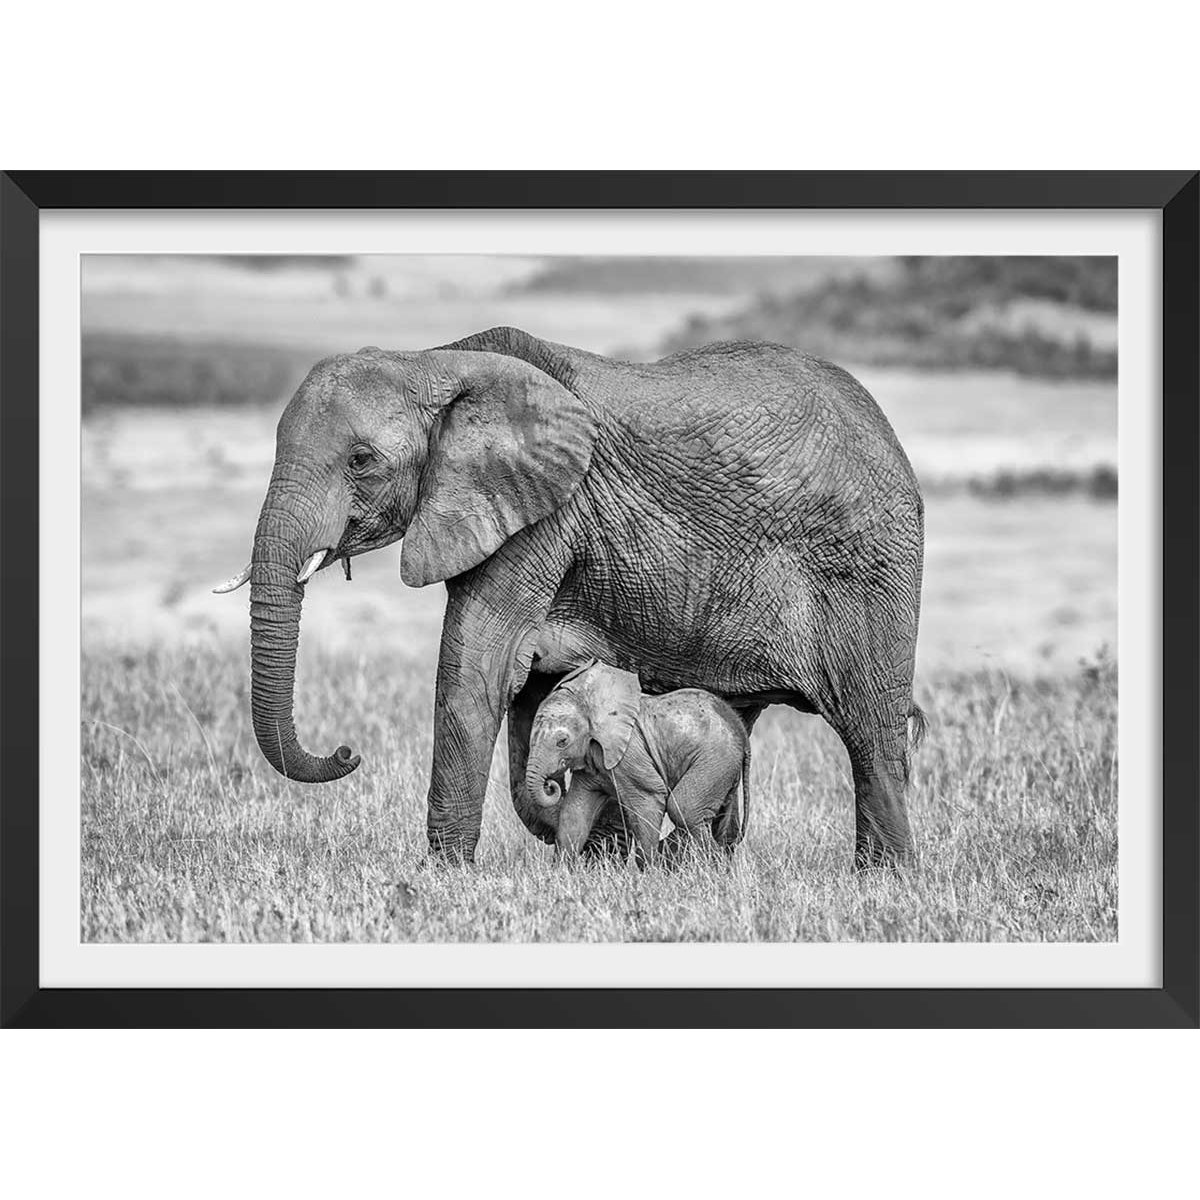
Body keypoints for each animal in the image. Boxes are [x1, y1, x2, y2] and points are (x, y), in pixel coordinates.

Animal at [526, 661, 751, 864]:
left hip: (715, 758)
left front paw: (650, 873)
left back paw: (713, 865)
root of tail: (740, 728)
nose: (550, 784)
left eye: (562, 741)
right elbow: (574, 813)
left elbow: (647, 801)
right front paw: (560, 871)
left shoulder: (630, 756)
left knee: (684, 808)